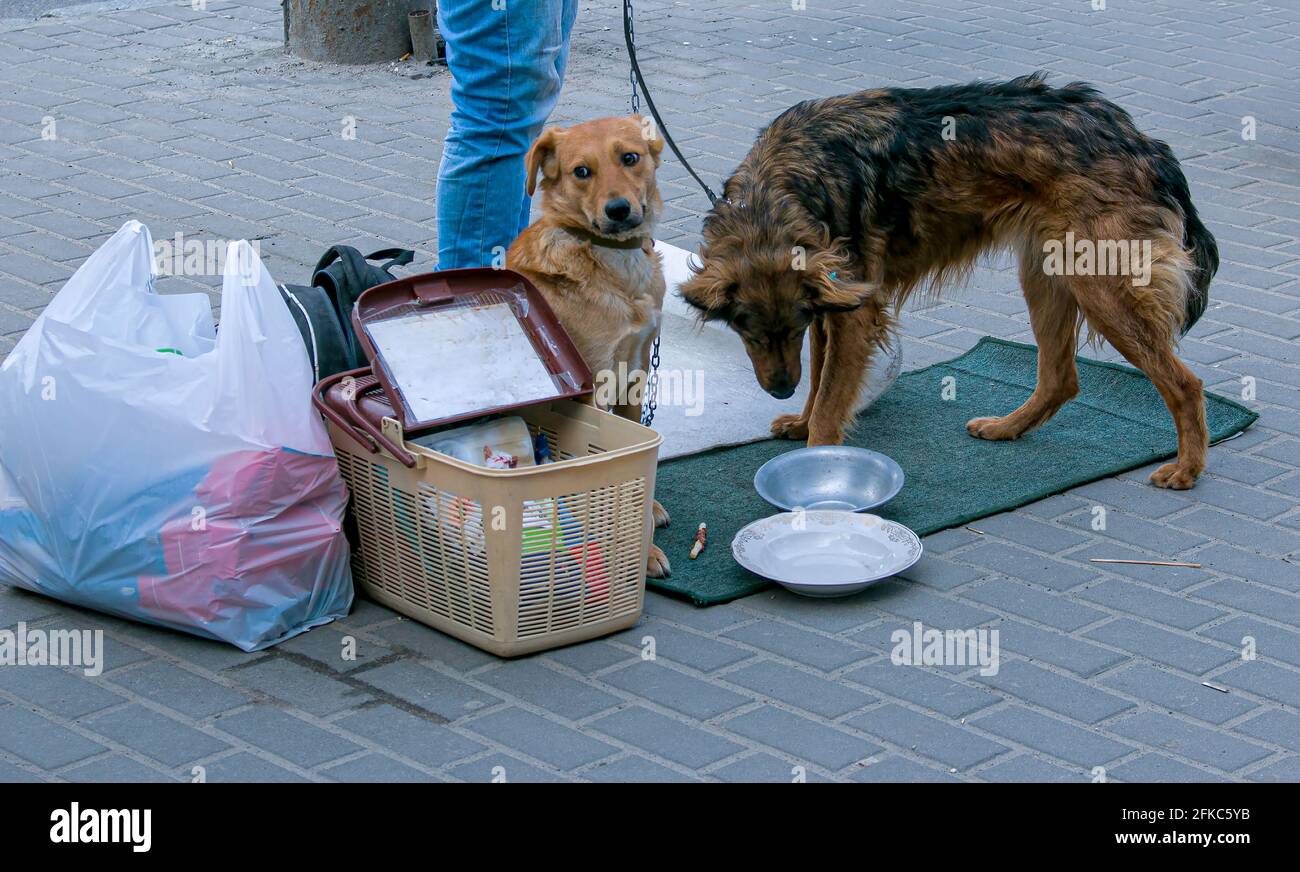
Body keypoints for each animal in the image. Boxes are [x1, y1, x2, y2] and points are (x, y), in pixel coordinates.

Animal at [504, 115, 670, 579]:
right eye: (582, 171)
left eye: (630, 158)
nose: (618, 210)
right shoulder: (594, 385)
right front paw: (641, 553)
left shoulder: (635, 371)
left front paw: (647, 509)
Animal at [681, 75, 1216, 491]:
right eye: (747, 334)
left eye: (788, 331)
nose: (779, 390)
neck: (778, 193)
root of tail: (1139, 139)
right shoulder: (828, 306)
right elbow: (818, 380)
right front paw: (802, 420)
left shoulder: (852, 313)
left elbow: (831, 399)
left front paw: (817, 455)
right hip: (1046, 276)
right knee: (1061, 378)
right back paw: (1007, 428)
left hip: (1101, 289)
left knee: (1185, 384)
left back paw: (1187, 468)